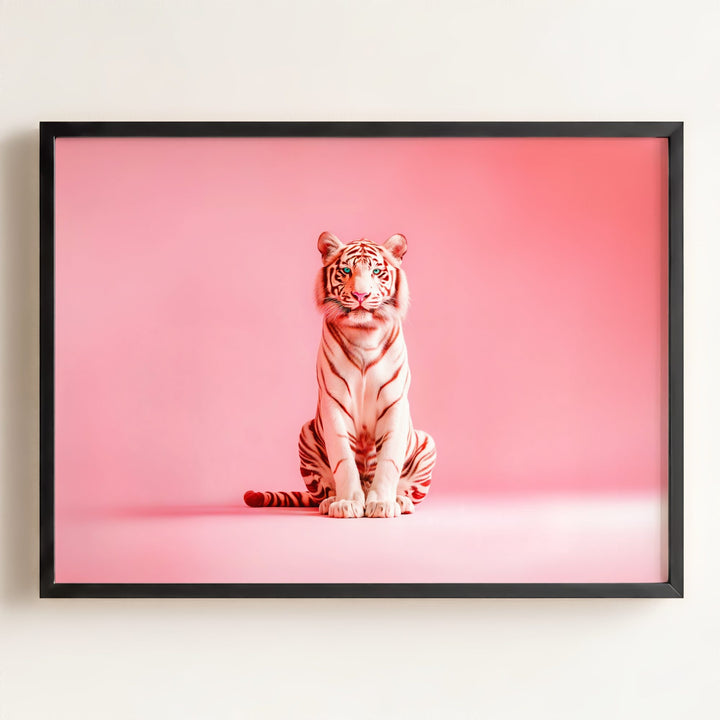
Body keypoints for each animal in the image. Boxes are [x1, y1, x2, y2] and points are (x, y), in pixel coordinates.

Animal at [244, 231, 436, 518]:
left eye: (376, 271)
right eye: (346, 271)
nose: (360, 294)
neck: (364, 333)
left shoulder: (394, 403)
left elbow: (389, 459)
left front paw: (383, 503)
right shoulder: (334, 401)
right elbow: (343, 459)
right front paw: (347, 503)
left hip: (426, 441)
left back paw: (400, 501)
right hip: (306, 434)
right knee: (322, 492)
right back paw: (330, 501)